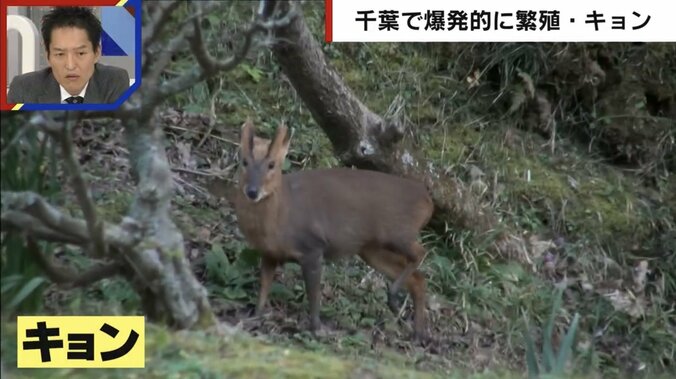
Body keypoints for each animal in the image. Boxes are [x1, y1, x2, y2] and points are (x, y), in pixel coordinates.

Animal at [222, 119, 434, 342]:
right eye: (244, 162)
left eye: (272, 164)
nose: (252, 191)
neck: (279, 222)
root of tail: (428, 201)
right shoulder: (269, 253)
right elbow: (264, 287)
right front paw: (255, 316)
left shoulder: (313, 247)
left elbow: (313, 294)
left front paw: (317, 329)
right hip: (372, 249)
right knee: (419, 278)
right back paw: (418, 333)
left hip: (397, 233)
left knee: (421, 252)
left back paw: (395, 300)